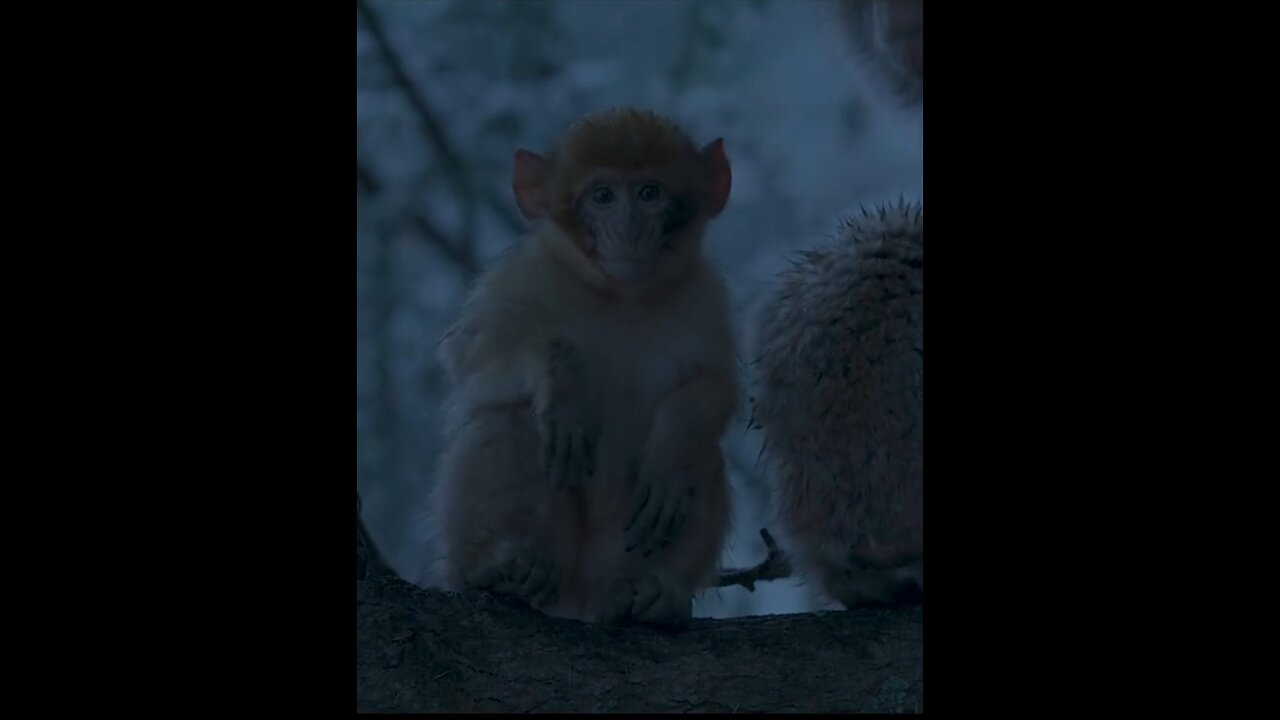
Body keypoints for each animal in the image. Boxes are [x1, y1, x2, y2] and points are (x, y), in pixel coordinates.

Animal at [427, 105, 737, 622]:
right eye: (603, 196)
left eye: (649, 193)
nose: (628, 229)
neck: (622, 297)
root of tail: (578, 597)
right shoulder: (522, 275)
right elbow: (475, 358)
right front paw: (565, 378)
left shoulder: (706, 297)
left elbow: (715, 385)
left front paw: (674, 446)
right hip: (556, 546)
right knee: (510, 421)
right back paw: (502, 566)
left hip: (612, 549)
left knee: (705, 463)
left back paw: (647, 589)